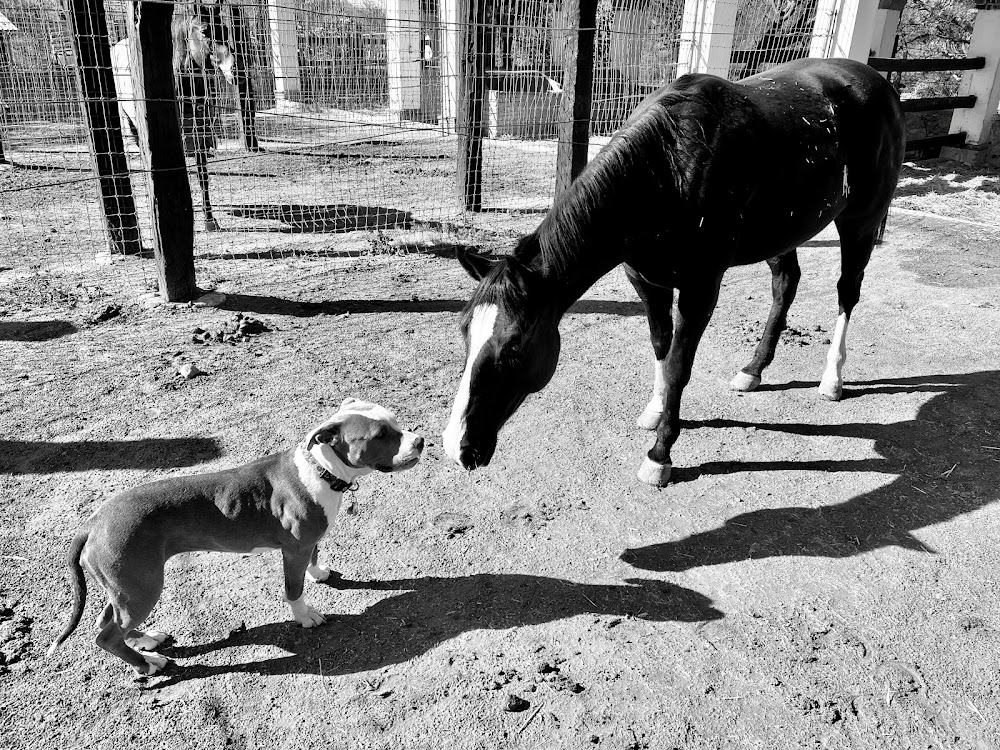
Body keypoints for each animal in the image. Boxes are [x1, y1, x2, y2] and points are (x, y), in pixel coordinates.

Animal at [111, 2, 234, 231]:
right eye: (205, 31)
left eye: (225, 29)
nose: (234, 69)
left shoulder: (200, 136)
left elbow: (203, 176)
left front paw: (209, 219)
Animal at [442, 57, 905, 487]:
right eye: (465, 334)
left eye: (515, 346)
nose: (457, 446)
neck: (668, 167)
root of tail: (878, 82)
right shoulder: (648, 282)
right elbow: (662, 348)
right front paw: (655, 409)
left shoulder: (700, 288)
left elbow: (680, 364)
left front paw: (660, 454)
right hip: (783, 233)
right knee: (785, 285)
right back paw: (753, 370)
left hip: (860, 221)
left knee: (847, 292)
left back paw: (832, 379)